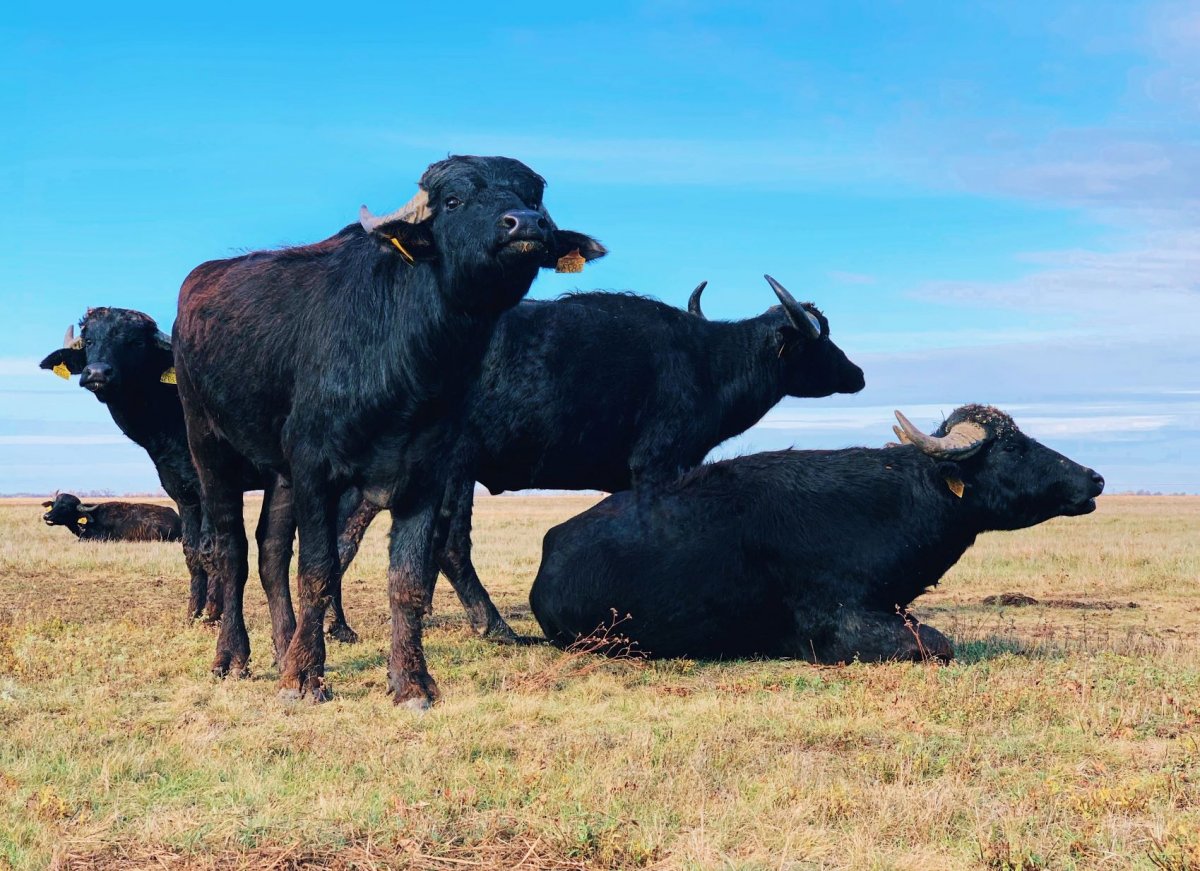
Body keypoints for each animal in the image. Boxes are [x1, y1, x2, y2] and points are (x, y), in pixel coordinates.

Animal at [174, 157, 604, 710]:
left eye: (532, 199)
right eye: (453, 201)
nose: (524, 225)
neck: (408, 363)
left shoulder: (427, 473)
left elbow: (408, 581)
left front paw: (411, 681)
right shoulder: (316, 468)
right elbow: (318, 571)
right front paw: (304, 679)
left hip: (281, 472)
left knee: (270, 551)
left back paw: (282, 647)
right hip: (208, 443)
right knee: (231, 549)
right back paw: (233, 656)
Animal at [324, 275, 868, 643]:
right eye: (821, 340)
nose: (858, 374)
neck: (706, 361)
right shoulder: (658, 464)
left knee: (346, 538)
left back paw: (342, 627)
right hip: (454, 468)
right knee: (447, 544)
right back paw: (495, 627)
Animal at [532, 405, 1104, 667]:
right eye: (1012, 448)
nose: (1095, 478)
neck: (892, 501)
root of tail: (553, 545)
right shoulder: (839, 624)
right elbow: (938, 644)